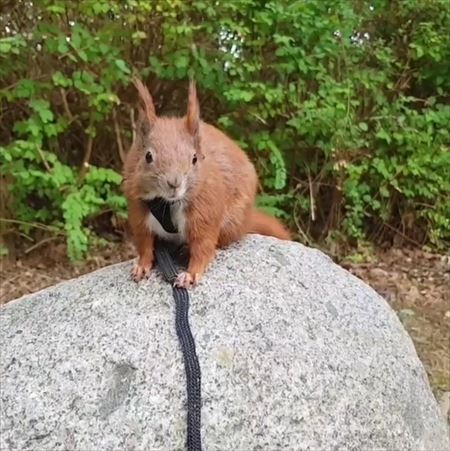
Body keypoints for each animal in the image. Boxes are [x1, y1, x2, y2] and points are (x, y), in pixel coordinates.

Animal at [122, 77, 292, 288]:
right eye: (148, 156)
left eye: (195, 158)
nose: (174, 183)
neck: (168, 203)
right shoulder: (139, 214)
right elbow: (145, 244)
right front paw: (142, 266)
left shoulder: (205, 213)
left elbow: (203, 247)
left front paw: (190, 274)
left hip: (231, 223)